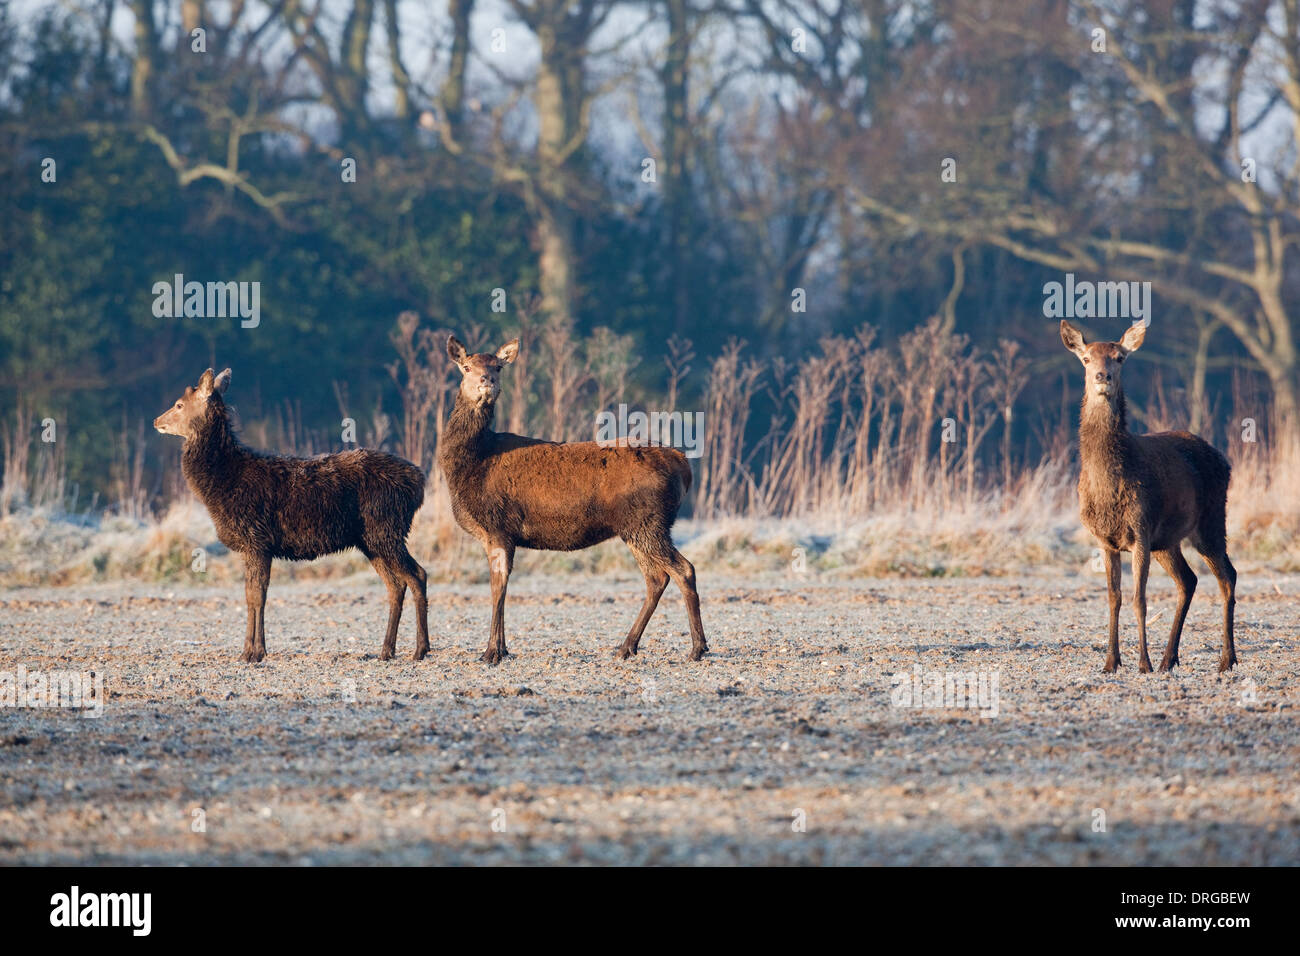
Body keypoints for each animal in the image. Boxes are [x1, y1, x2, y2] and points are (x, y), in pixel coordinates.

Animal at [151, 369, 426, 660]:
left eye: (179, 404)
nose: (156, 420)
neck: (221, 485)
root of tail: (419, 483)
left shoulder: (257, 539)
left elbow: (257, 595)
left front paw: (254, 652)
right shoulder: (254, 545)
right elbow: (250, 594)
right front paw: (250, 650)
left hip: (386, 528)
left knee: (417, 575)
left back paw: (420, 649)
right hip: (371, 540)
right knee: (395, 585)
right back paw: (386, 650)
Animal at [436, 335, 707, 665]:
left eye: (498, 366)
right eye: (466, 367)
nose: (487, 380)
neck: (474, 462)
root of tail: (684, 465)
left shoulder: (497, 527)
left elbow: (497, 588)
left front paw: (491, 652)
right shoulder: (502, 534)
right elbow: (501, 586)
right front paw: (501, 648)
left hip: (648, 522)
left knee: (683, 570)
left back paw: (697, 648)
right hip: (638, 527)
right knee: (656, 577)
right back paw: (627, 646)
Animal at [1055, 321, 1237, 671]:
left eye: (1119, 358)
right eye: (1086, 358)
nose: (1102, 376)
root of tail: (1225, 460)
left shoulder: (1141, 528)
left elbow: (1139, 599)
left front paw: (1143, 663)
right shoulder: (1105, 539)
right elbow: (1114, 598)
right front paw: (1111, 662)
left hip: (1211, 520)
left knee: (1227, 576)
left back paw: (1226, 660)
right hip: (1167, 540)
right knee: (1189, 580)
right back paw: (1170, 658)